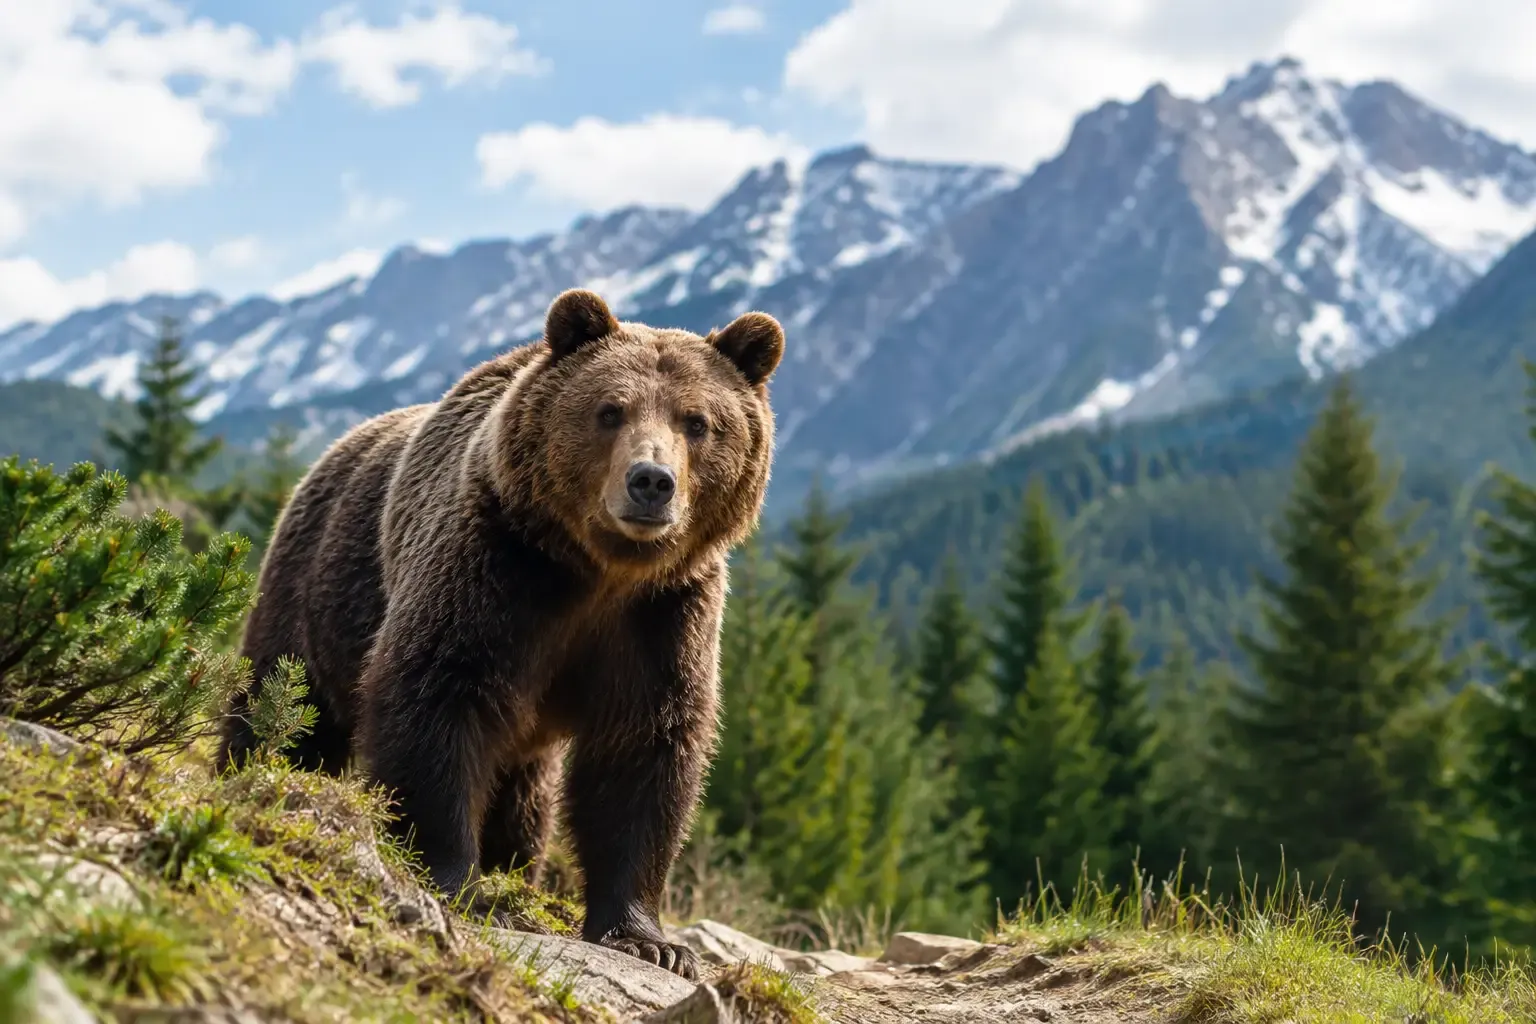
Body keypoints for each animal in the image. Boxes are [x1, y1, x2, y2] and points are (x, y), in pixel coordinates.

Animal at [217, 289, 785, 979]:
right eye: (610, 410)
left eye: (697, 421)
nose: (651, 481)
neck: (600, 572)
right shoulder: (496, 571)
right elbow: (437, 698)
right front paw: (451, 878)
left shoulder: (664, 616)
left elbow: (643, 753)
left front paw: (650, 939)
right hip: (318, 592)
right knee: (285, 703)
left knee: (524, 804)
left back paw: (513, 864)